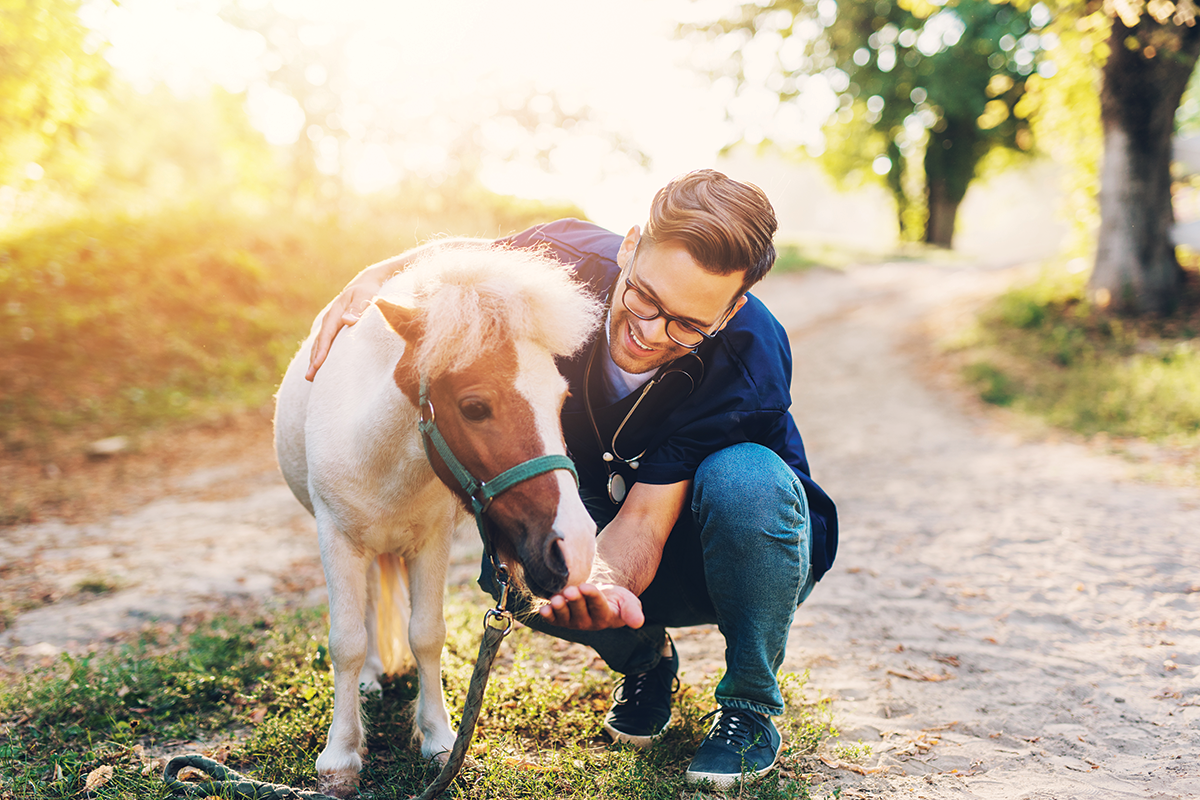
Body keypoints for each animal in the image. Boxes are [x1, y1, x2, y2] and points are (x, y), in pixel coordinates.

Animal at [276, 247, 604, 796]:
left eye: (561, 401)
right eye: (474, 406)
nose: (574, 545)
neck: (384, 456)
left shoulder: (430, 545)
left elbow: (427, 635)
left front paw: (438, 739)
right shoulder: (337, 539)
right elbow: (345, 642)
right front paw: (340, 755)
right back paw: (368, 679)